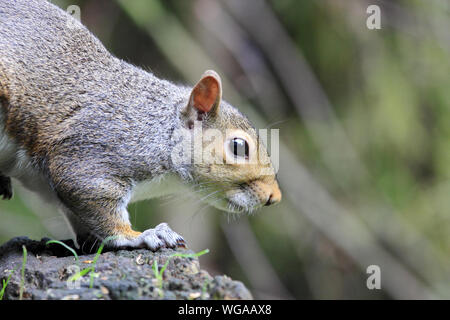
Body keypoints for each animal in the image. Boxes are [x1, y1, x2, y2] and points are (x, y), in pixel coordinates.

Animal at [0, 0, 282, 250]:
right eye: (238, 147)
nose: (274, 197)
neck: (158, 130)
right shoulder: (91, 153)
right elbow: (90, 196)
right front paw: (139, 235)